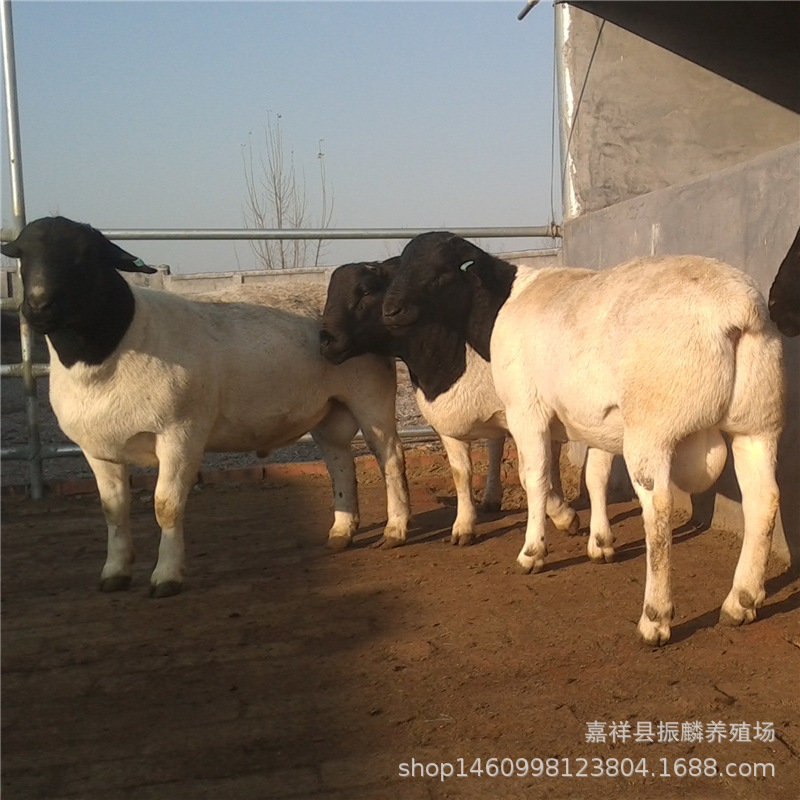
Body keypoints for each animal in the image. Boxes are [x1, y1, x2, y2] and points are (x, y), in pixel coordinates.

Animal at [1, 216, 411, 596]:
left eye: (85, 255)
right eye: (21, 254)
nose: (37, 307)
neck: (113, 349)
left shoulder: (180, 434)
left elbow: (165, 505)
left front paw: (166, 577)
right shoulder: (96, 449)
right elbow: (112, 509)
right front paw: (114, 573)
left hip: (370, 395)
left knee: (390, 458)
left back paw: (395, 529)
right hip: (328, 409)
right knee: (340, 462)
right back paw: (341, 532)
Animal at [320, 259, 620, 556]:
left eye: (366, 291)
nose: (326, 340)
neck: (450, 353)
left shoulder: (521, 414)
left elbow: (527, 473)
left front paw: (564, 516)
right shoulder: (447, 426)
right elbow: (461, 474)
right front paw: (464, 526)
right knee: (497, 445)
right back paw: (493, 497)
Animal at [382, 232, 784, 646]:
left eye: (440, 273)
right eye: (401, 267)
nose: (390, 311)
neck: (502, 304)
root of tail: (737, 312)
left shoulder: (526, 410)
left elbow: (535, 479)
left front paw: (533, 552)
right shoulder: (597, 424)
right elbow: (595, 479)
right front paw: (599, 543)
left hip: (652, 428)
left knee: (659, 510)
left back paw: (655, 618)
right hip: (758, 423)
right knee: (764, 501)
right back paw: (741, 601)